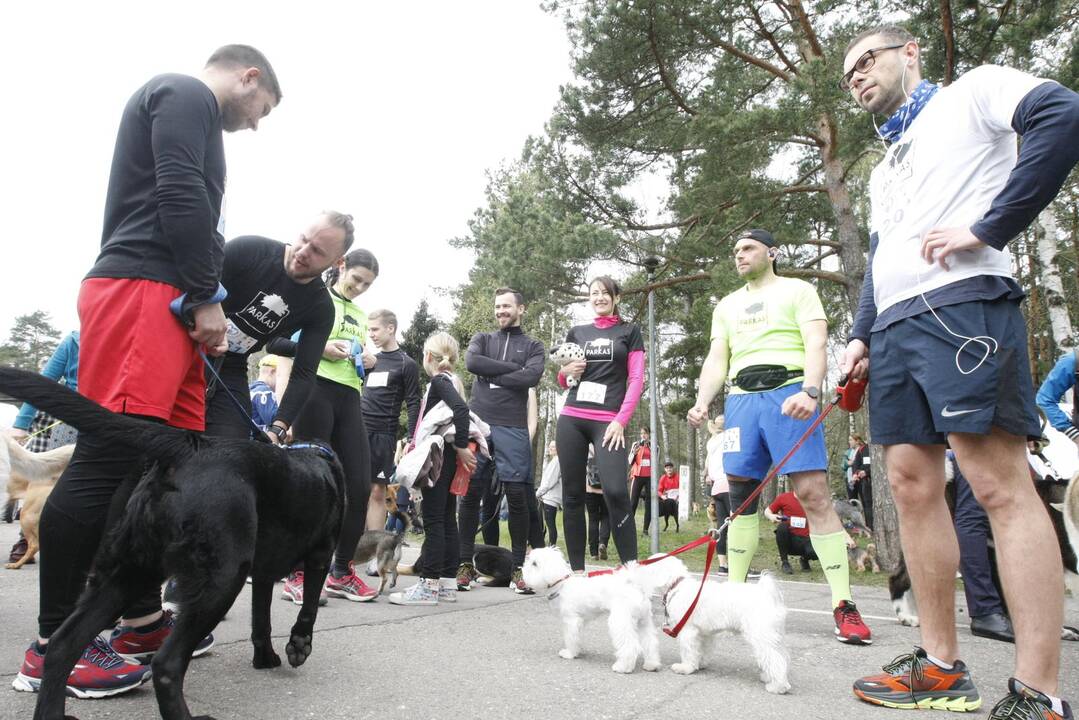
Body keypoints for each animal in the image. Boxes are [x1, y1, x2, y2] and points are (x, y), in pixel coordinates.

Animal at [0, 369, 343, 720]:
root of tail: (187, 448)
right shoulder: (320, 554)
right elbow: (308, 608)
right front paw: (298, 646)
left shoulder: (262, 574)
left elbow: (261, 617)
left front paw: (265, 657)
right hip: (222, 576)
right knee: (166, 664)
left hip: (129, 571)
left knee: (62, 645)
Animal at [520, 546, 660, 677]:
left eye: (534, 564)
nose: (522, 569)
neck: (562, 585)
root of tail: (635, 586)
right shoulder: (580, 622)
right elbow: (576, 637)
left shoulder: (571, 620)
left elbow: (570, 637)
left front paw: (569, 653)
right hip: (643, 621)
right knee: (650, 642)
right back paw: (651, 664)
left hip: (620, 621)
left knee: (630, 646)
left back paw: (622, 667)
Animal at [634, 557, 789, 690]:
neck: (677, 586)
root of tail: (766, 593)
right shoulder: (704, 634)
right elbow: (702, 650)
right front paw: (700, 663)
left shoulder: (688, 631)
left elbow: (688, 651)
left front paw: (686, 668)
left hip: (761, 636)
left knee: (776, 659)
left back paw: (778, 686)